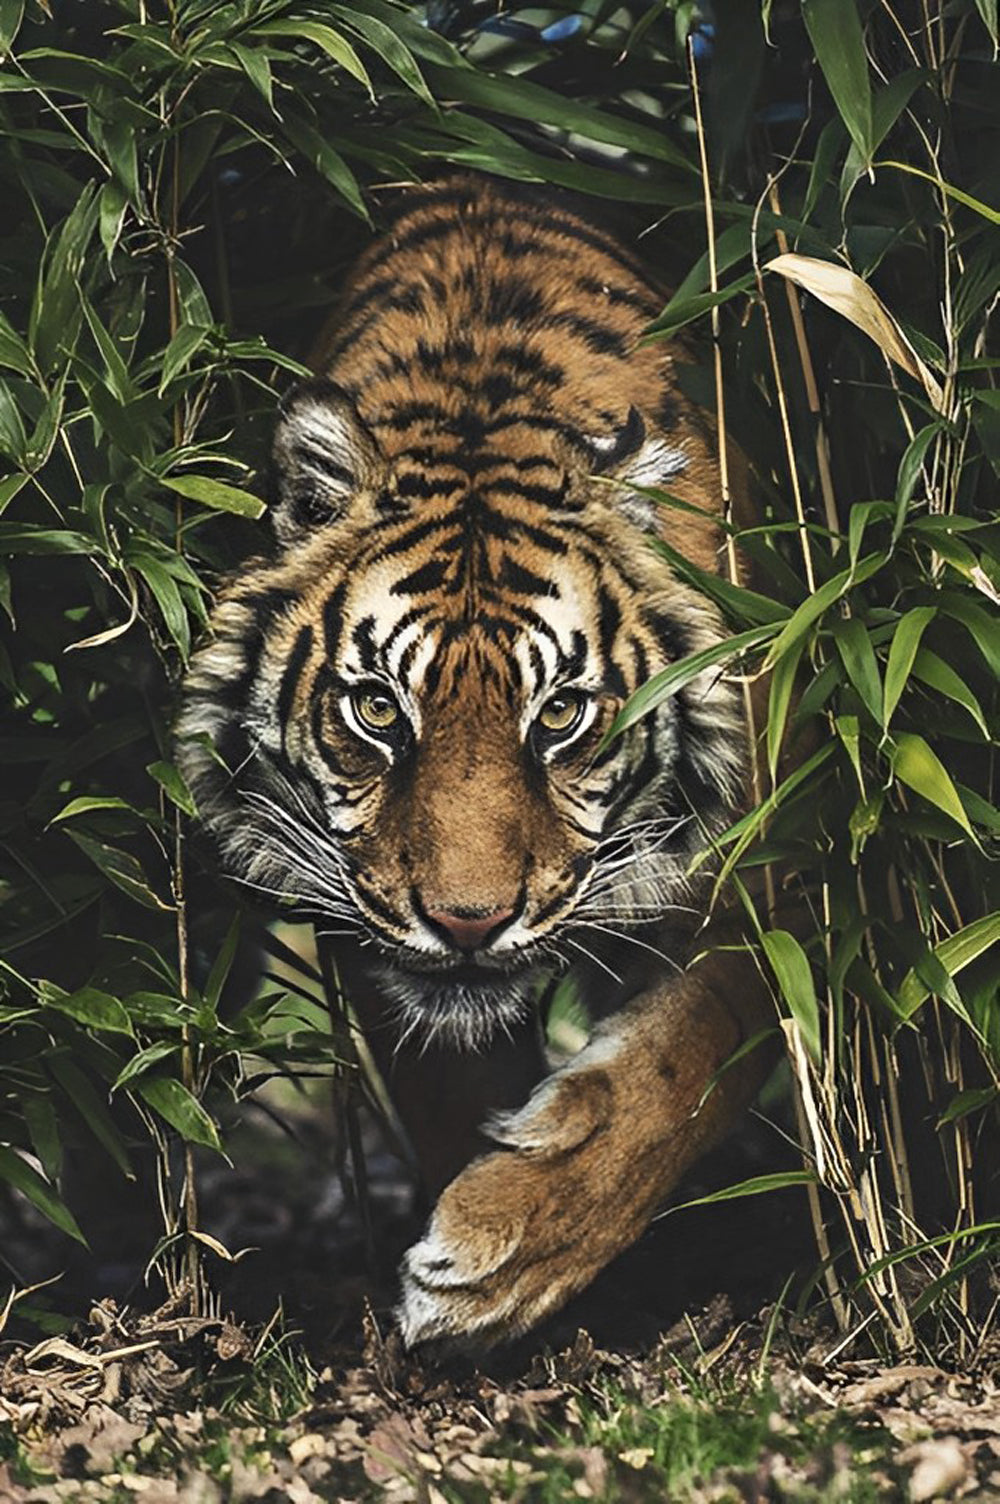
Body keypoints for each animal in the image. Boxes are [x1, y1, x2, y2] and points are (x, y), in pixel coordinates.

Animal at [176, 176, 775, 1347]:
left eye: (560, 715)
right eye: (376, 709)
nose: (466, 923)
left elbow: (689, 1058)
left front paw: (497, 1255)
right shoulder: (360, 919)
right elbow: (447, 1083)